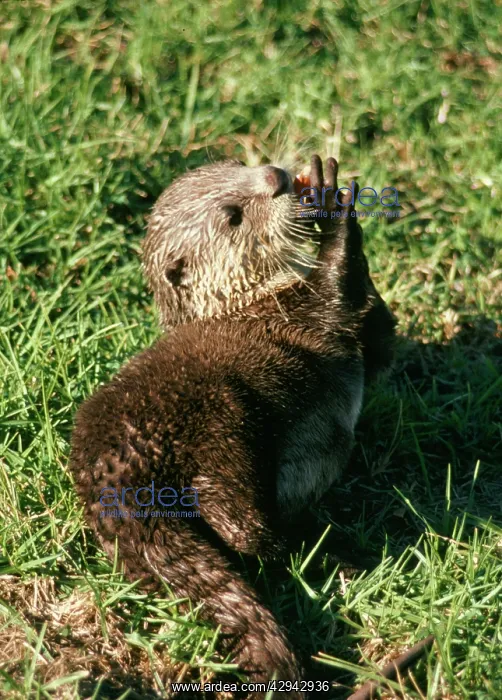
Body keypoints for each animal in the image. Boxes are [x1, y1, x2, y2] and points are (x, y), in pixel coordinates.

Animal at [69, 155, 396, 698]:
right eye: (233, 215)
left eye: (236, 165)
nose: (277, 176)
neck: (254, 299)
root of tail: (115, 477)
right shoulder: (311, 309)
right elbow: (339, 286)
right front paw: (332, 202)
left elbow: (380, 340)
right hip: (223, 423)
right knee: (248, 532)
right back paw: (342, 555)